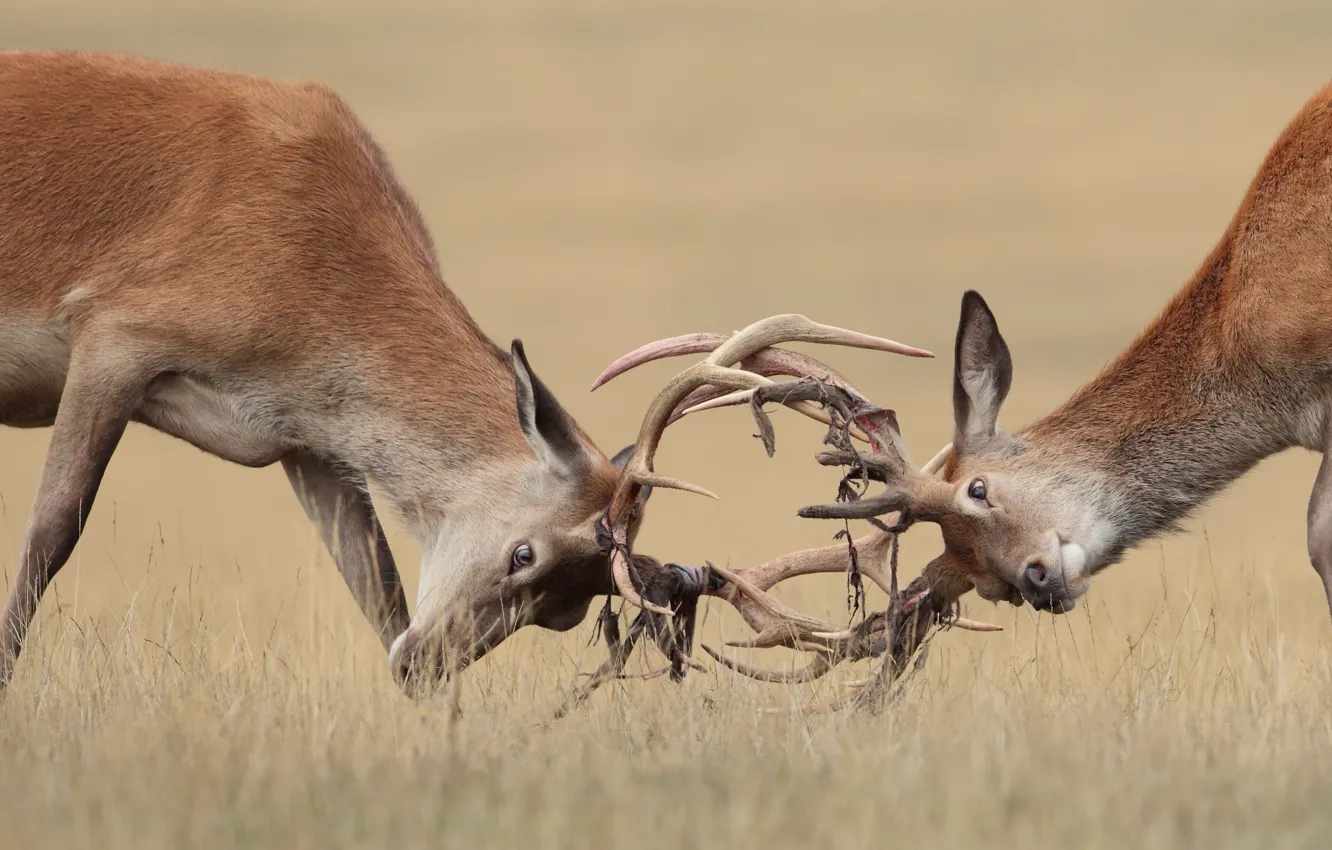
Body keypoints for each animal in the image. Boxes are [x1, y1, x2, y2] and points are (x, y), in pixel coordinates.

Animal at [0, 48, 948, 698]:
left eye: (568, 610)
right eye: (526, 551)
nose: (422, 668)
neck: (312, 267)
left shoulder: (305, 445)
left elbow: (375, 582)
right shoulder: (114, 336)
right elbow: (52, 530)